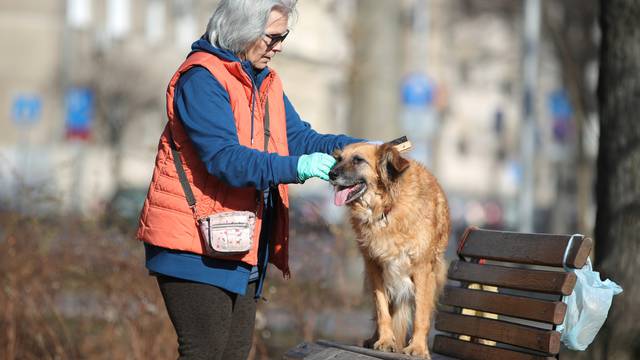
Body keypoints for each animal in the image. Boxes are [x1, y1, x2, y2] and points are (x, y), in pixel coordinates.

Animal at [330, 142, 450, 358]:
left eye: (358, 160)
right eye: (339, 159)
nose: (330, 174)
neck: (387, 208)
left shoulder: (422, 269)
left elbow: (421, 314)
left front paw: (418, 347)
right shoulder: (375, 268)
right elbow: (382, 310)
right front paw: (385, 341)